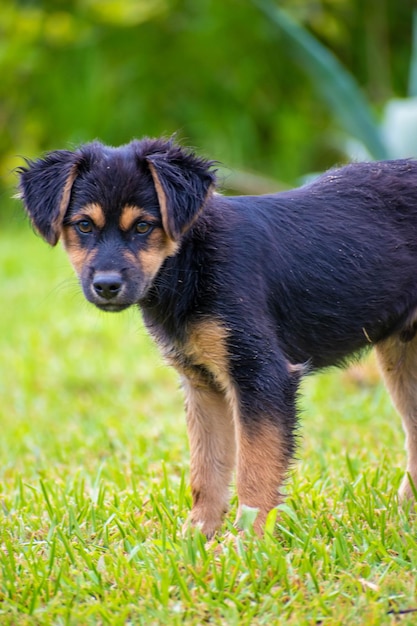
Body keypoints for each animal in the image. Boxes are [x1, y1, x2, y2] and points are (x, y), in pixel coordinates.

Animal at [18, 139, 417, 532]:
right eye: (84, 226)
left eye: (144, 226)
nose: (106, 286)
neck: (188, 264)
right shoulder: (202, 382)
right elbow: (206, 469)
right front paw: (196, 537)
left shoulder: (261, 374)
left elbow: (254, 468)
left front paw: (247, 541)